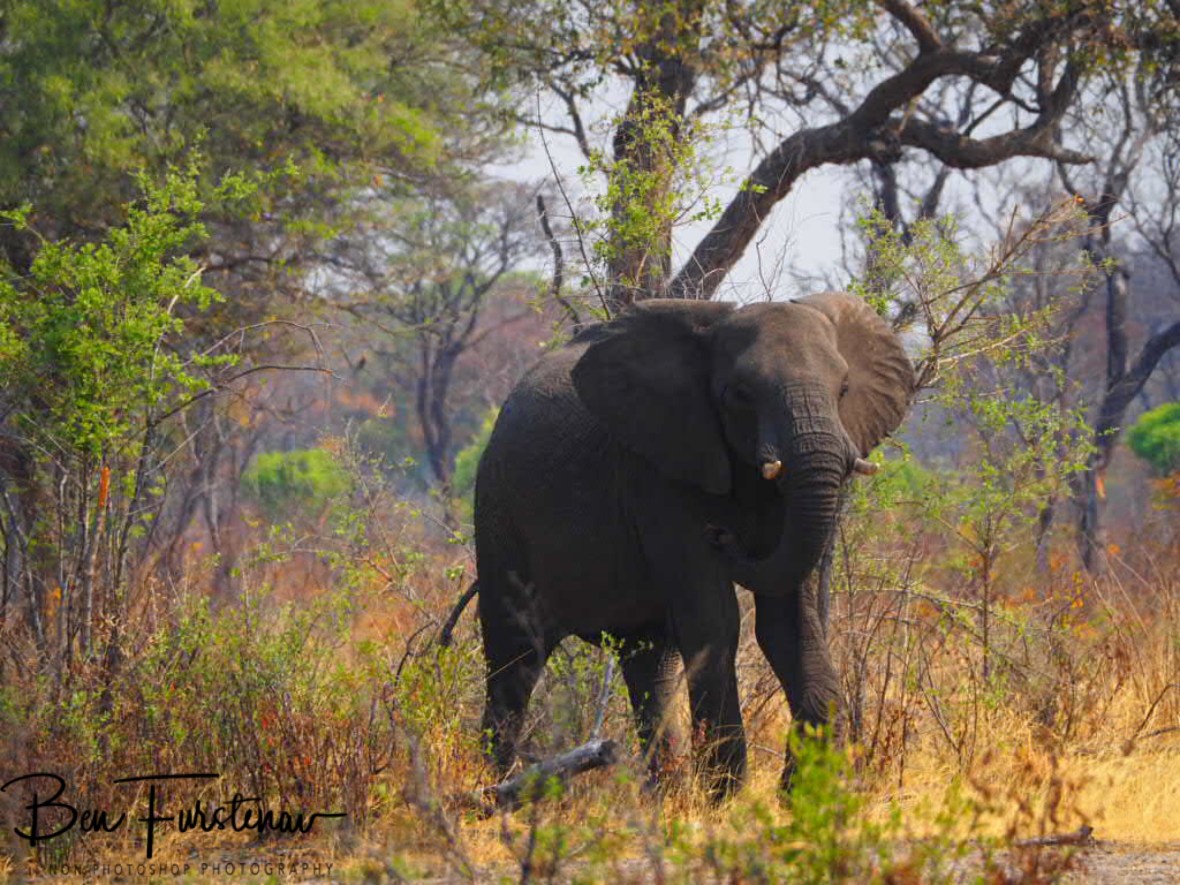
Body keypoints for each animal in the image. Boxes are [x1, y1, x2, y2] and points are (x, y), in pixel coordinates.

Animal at [471, 292, 914, 796]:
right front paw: (727, 797)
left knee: (648, 660)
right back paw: (493, 787)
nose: (722, 536)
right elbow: (716, 619)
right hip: (498, 512)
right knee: (516, 653)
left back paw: (663, 793)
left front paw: (805, 793)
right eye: (740, 394)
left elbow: (789, 623)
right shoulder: (660, 473)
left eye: (843, 390)